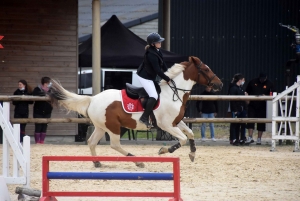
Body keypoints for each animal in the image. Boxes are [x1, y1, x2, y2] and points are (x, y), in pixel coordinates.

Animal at [48, 55, 221, 167]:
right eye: (206, 69)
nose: (220, 84)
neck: (173, 93)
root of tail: (93, 99)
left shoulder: (176, 122)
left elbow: (190, 134)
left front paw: (192, 154)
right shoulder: (166, 125)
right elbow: (183, 139)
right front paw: (164, 150)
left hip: (101, 126)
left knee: (91, 142)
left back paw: (97, 162)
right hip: (113, 127)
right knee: (114, 144)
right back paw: (137, 161)